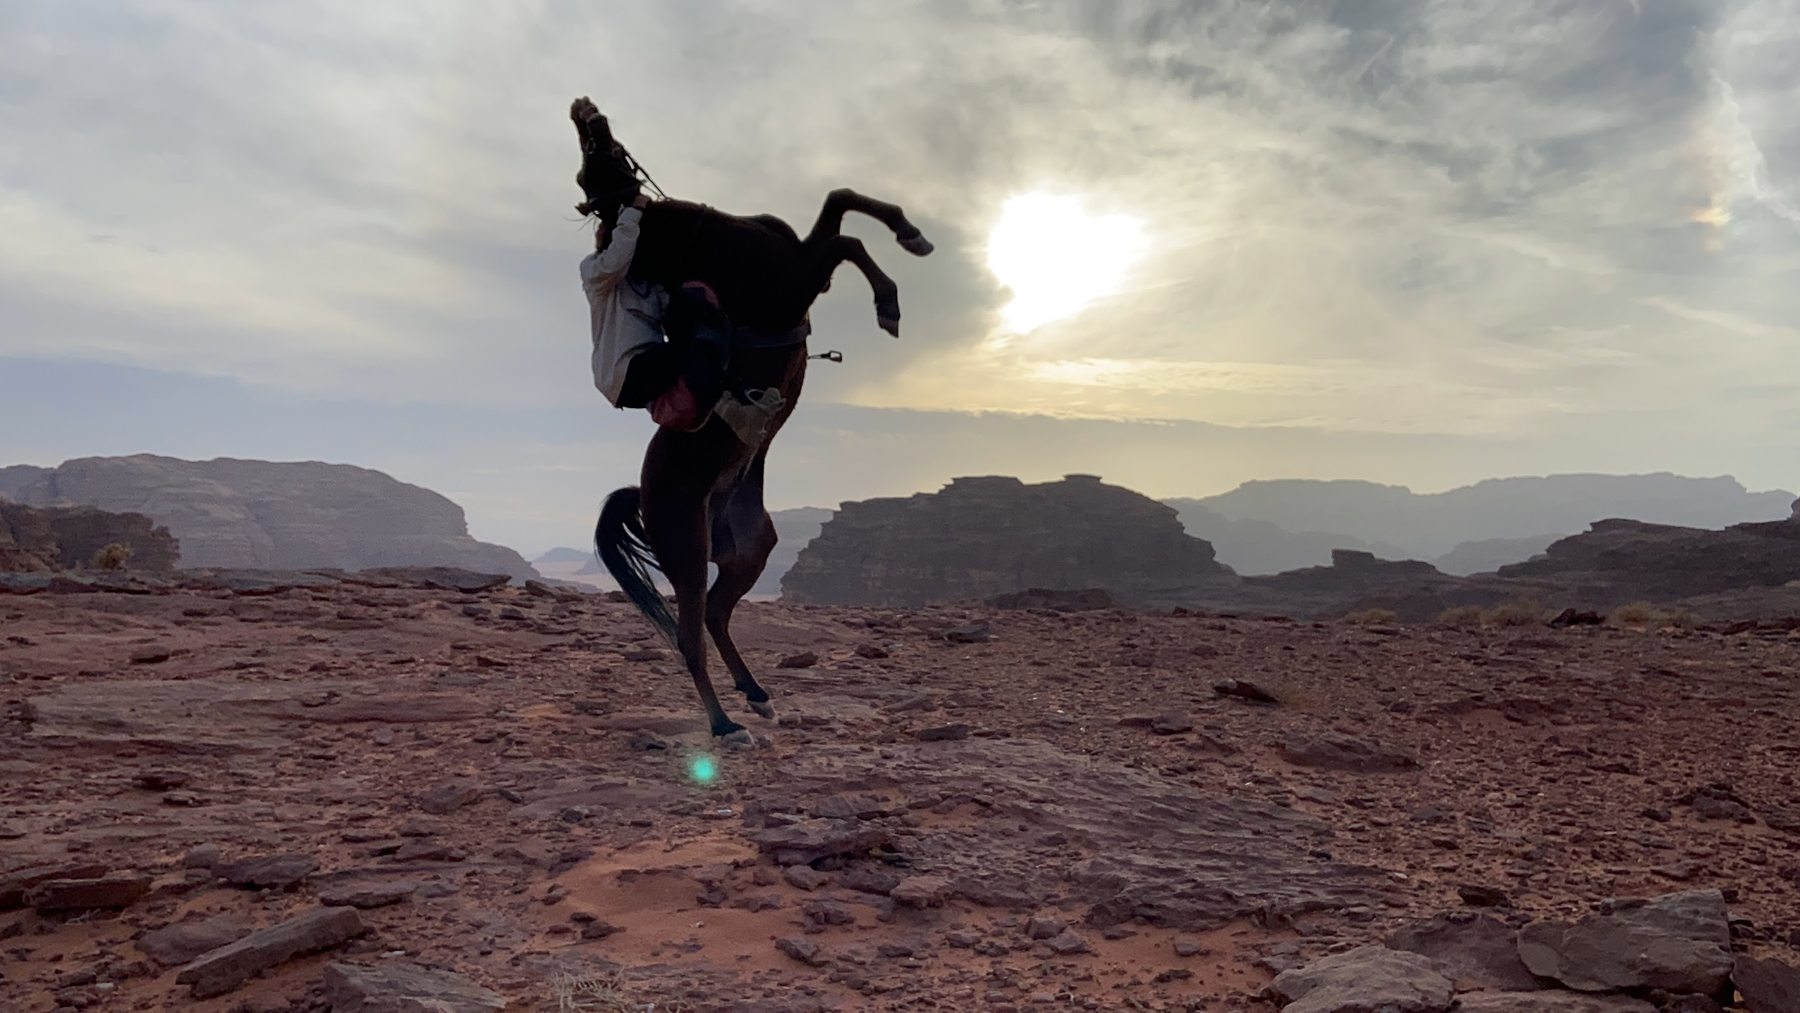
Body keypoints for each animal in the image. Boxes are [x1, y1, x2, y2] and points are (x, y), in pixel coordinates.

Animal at [573, 97, 933, 741]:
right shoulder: (797, 281)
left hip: (751, 546)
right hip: (687, 551)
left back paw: (757, 693)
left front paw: (911, 235)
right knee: (690, 634)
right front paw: (889, 301)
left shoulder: (802, 265)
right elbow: (846, 239)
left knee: (717, 613)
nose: (582, 106)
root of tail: (641, 495)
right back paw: (724, 725)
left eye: (597, 152)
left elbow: (842, 203)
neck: (703, 241)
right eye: (590, 167)